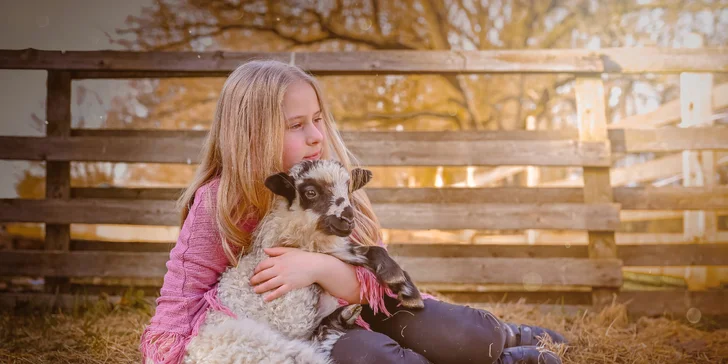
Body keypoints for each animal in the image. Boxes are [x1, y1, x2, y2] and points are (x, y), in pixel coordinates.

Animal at [182, 161, 424, 362]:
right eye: (311, 192)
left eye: (348, 189)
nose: (348, 218)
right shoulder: (291, 318)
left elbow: (367, 250)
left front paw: (405, 289)